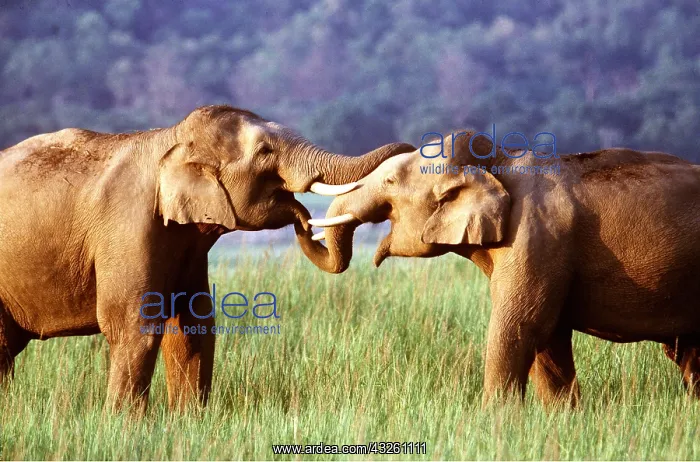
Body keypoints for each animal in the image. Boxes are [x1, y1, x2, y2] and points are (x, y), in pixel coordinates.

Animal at [0, 104, 415, 412]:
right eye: (265, 152)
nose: (305, 220)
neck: (170, 138)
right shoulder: (127, 227)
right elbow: (132, 326)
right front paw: (123, 427)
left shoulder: (188, 245)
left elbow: (193, 325)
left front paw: (187, 421)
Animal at [305, 130, 700, 407]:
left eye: (389, 182)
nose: (301, 219)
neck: (497, 163)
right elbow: (550, 341)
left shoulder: (535, 240)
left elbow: (521, 327)